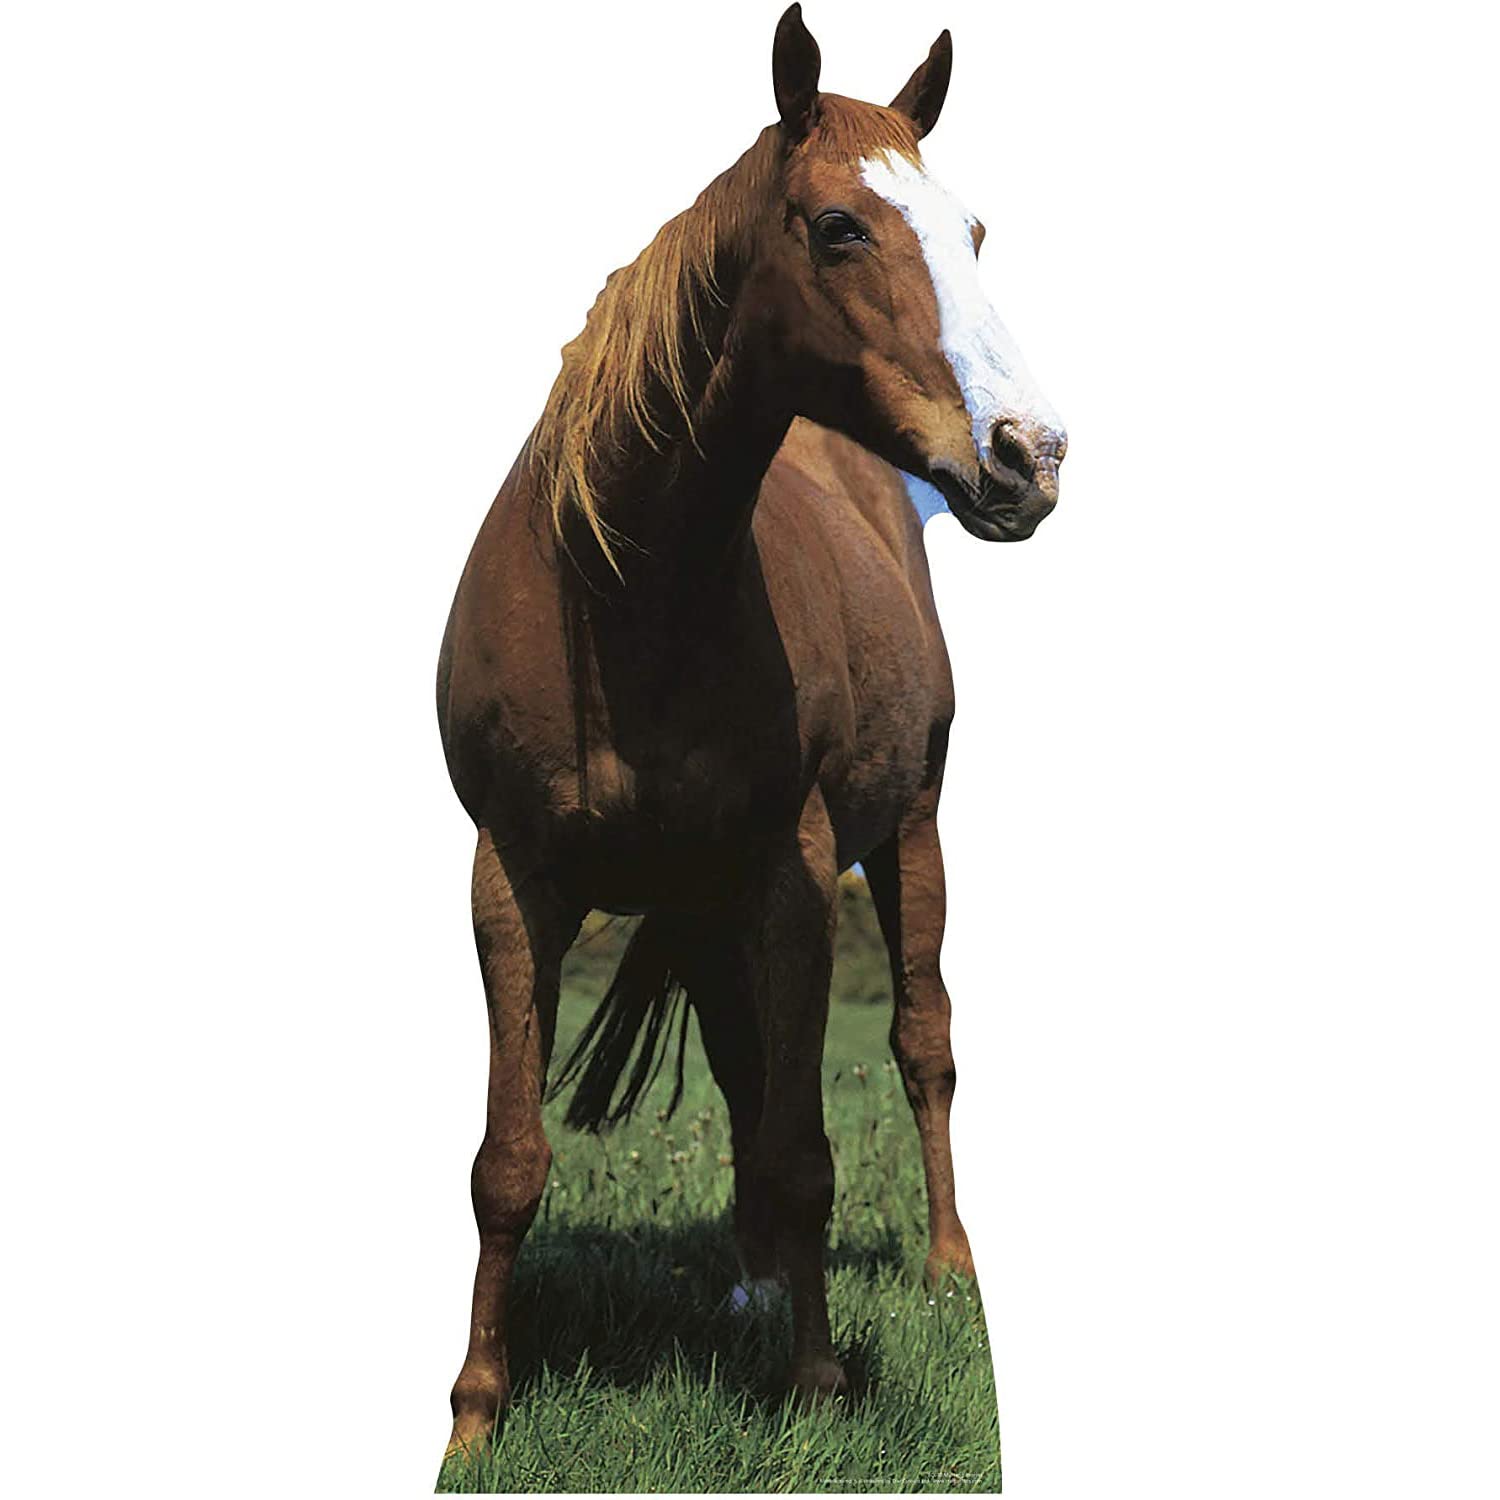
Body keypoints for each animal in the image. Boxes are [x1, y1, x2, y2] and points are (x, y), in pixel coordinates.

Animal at [436, 4, 1066, 1453]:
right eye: (839, 227)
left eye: (975, 232)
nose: (1030, 454)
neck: (623, 590)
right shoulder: (511, 879)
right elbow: (510, 1161)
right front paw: (474, 1413)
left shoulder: (797, 866)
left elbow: (804, 1147)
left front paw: (818, 1383)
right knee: (738, 1061)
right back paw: (752, 1285)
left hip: (907, 832)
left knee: (923, 1045)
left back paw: (944, 1268)